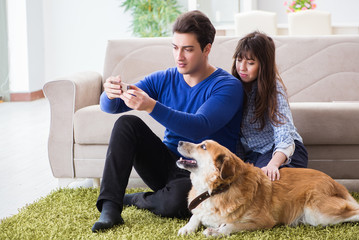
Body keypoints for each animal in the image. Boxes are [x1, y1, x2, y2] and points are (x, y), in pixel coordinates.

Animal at [176, 140, 359, 237]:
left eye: (203, 147)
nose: (179, 142)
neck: (218, 189)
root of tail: (334, 182)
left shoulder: (262, 221)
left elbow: (232, 225)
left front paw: (216, 231)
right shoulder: (200, 208)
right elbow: (195, 216)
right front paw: (187, 228)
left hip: (317, 213)